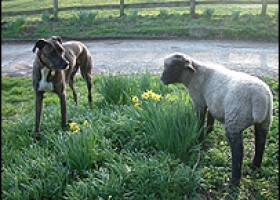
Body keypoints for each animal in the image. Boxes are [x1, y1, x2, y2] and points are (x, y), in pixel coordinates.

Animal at [161, 52, 272, 184]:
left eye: (174, 67)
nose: (162, 79)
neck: (194, 75)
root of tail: (259, 98)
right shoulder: (212, 103)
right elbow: (210, 117)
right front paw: (209, 131)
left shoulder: (199, 101)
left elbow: (200, 120)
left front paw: (199, 137)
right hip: (265, 120)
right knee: (261, 141)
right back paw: (255, 166)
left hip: (234, 120)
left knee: (238, 149)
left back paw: (234, 180)